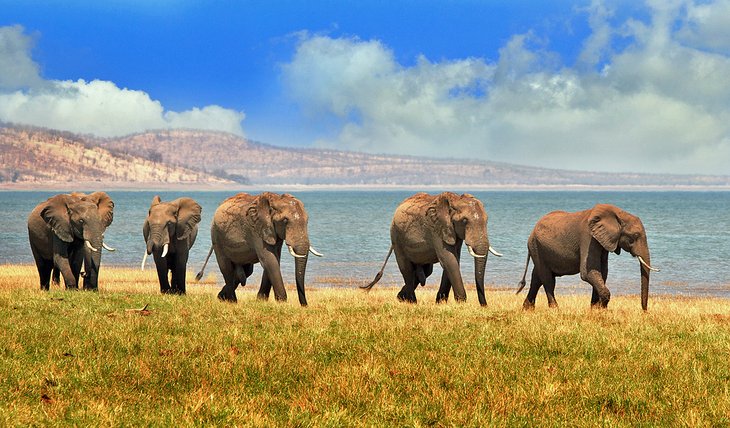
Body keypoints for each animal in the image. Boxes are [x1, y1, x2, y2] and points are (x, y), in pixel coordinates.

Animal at [193, 192, 322, 306]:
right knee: (226, 268)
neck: (275, 200)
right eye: (285, 221)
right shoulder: (256, 230)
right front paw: (282, 303)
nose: (305, 305)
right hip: (217, 237)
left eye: (307, 220)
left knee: (246, 271)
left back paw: (221, 297)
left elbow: (275, 259)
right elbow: (269, 260)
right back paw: (232, 301)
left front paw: (261, 301)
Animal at [362, 192, 500, 306]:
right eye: (464, 221)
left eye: (487, 220)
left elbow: (454, 259)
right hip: (397, 237)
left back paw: (401, 298)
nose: (484, 305)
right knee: (406, 269)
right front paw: (461, 303)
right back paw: (412, 302)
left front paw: (440, 303)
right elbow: (449, 260)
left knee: (426, 271)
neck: (454, 200)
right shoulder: (436, 229)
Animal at [512, 204, 660, 310]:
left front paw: (596, 309)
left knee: (537, 278)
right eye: (635, 236)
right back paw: (555, 309)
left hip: (538, 248)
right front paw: (602, 309)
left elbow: (602, 272)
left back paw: (527, 309)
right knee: (547, 279)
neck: (618, 213)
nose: (644, 311)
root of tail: (533, 230)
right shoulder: (588, 238)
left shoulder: (602, 241)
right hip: (536, 246)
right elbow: (588, 272)